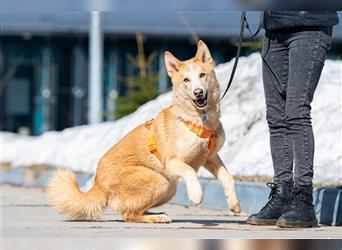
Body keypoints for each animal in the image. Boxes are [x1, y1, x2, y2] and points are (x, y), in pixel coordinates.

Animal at [47, 40, 240, 223]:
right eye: (186, 80)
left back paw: (157, 214)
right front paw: (196, 194)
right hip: (160, 180)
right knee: (128, 214)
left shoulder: (210, 157)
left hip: (167, 187)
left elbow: (228, 177)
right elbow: (190, 172)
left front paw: (234, 204)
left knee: (133, 209)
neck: (196, 119)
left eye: (202, 75)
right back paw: (155, 218)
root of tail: (98, 184)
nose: (198, 92)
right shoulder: (172, 162)